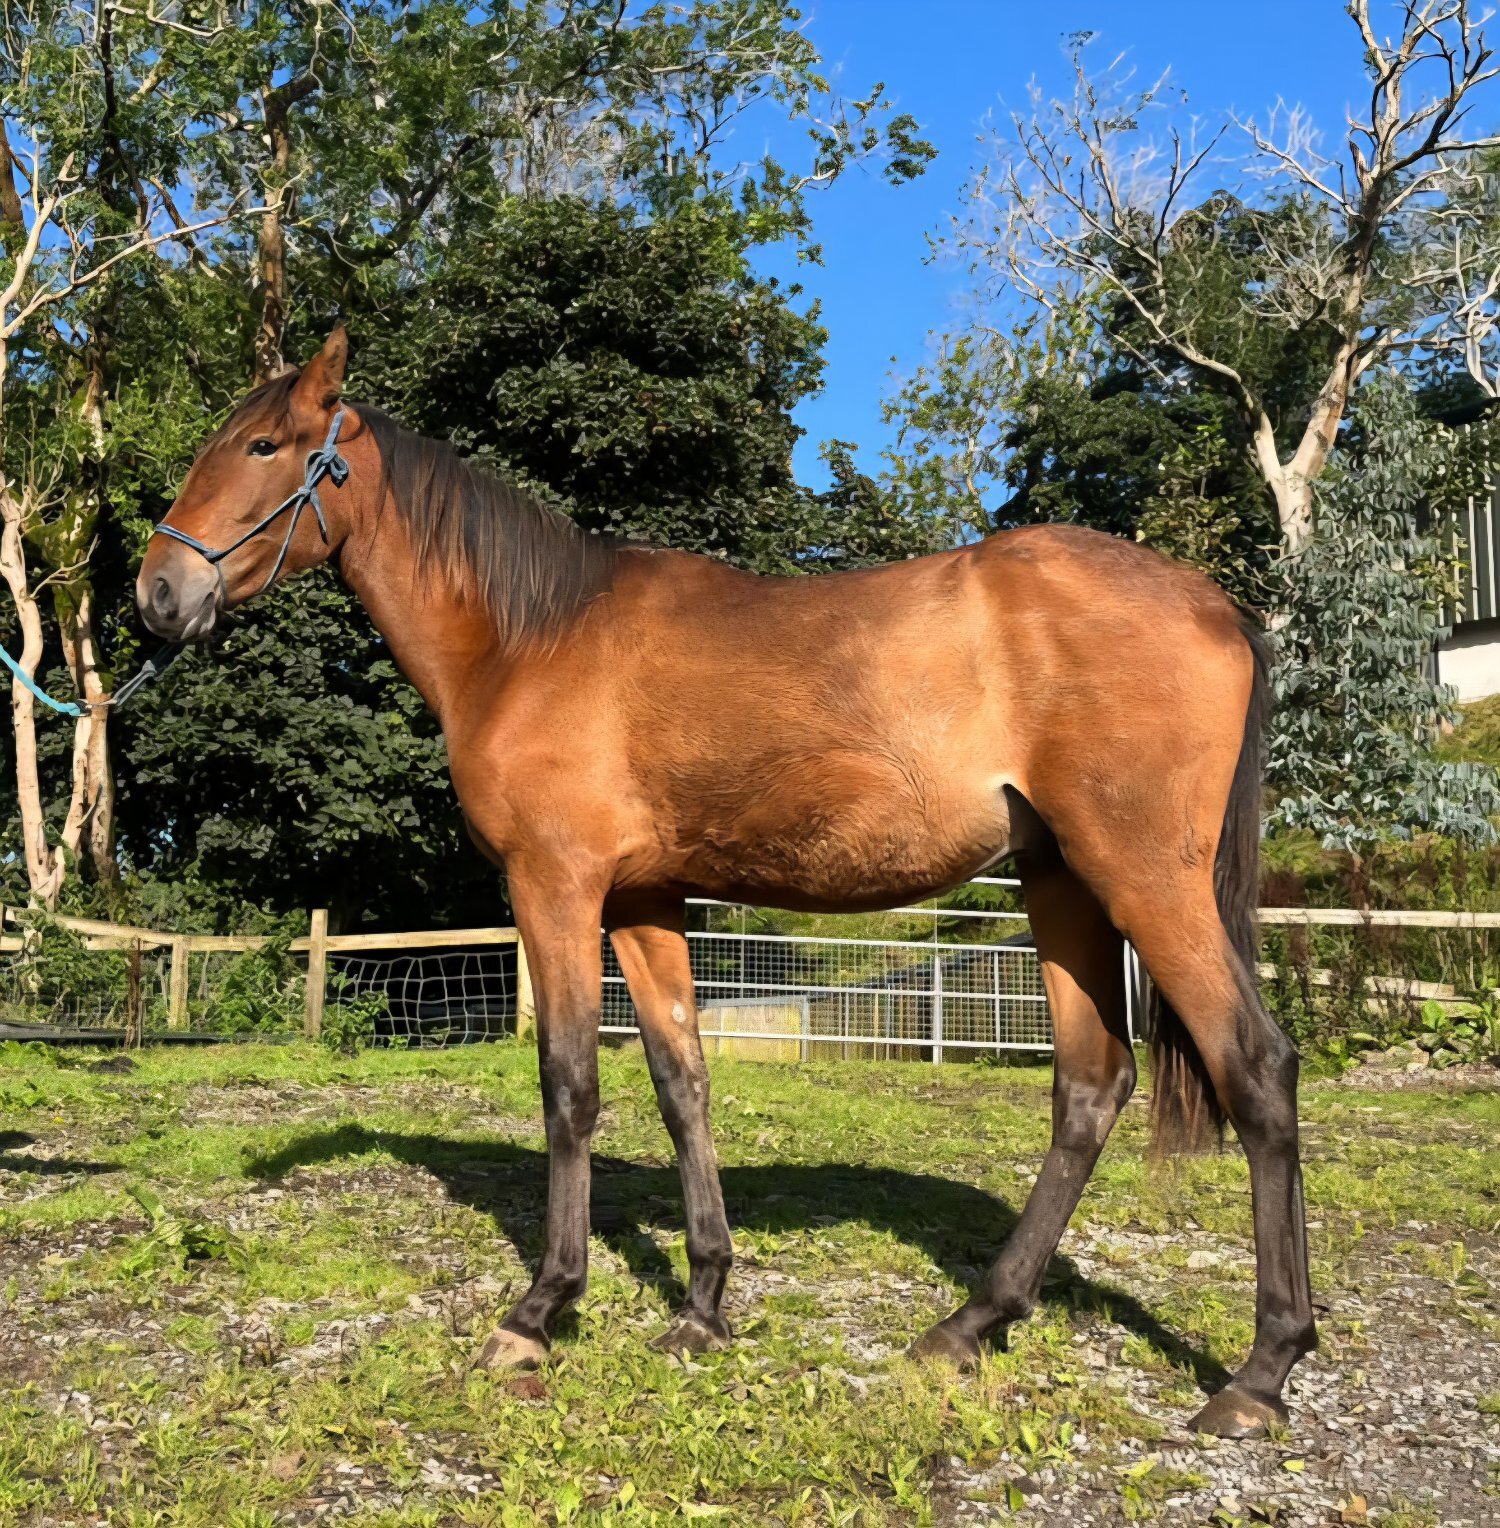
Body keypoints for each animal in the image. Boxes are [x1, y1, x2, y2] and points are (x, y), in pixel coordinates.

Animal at [137, 328, 1315, 1439]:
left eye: (263, 446)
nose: (158, 591)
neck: (530, 638)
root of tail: (1218, 608)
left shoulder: (555, 887)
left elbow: (570, 1085)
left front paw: (540, 1311)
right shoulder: (644, 903)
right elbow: (680, 1082)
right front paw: (703, 1304)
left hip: (1142, 878)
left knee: (1255, 1069)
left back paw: (1261, 1372)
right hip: (1059, 881)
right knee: (1090, 1085)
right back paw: (972, 1324)